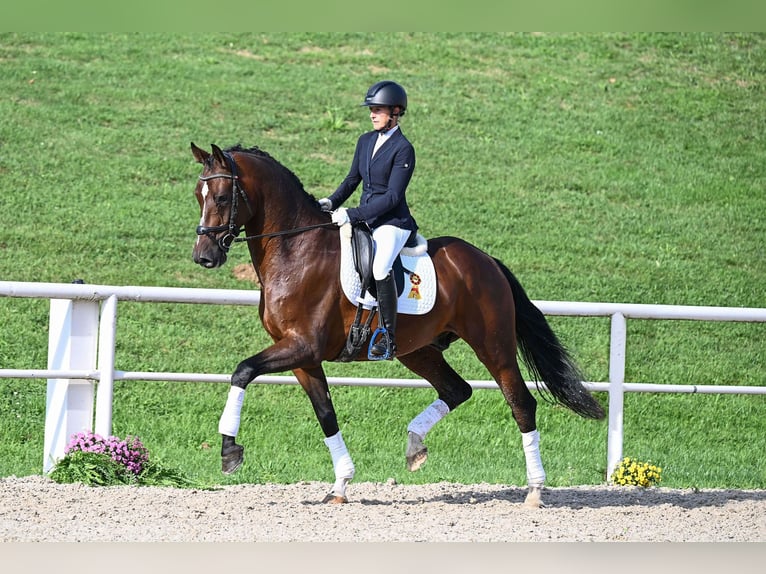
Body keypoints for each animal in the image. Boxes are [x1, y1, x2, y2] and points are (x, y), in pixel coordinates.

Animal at [188, 143, 608, 508]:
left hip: (493, 344)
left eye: (222, 198)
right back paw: (415, 446)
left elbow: (242, 371)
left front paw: (229, 451)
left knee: (520, 402)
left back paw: (535, 490)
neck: (296, 249)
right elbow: (325, 414)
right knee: (457, 390)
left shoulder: (302, 346)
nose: (204, 257)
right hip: (418, 349)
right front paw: (340, 485)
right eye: (198, 194)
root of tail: (486, 260)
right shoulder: (302, 357)